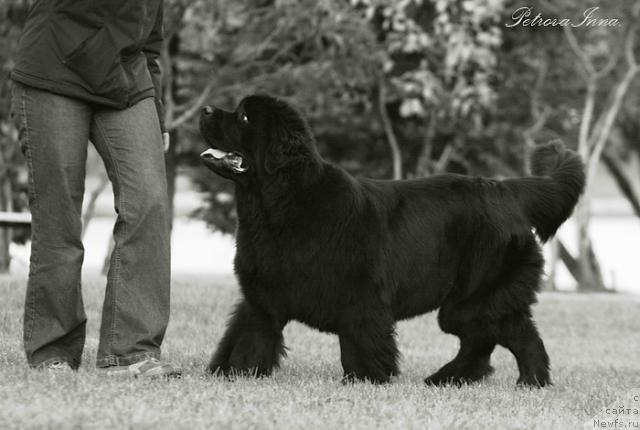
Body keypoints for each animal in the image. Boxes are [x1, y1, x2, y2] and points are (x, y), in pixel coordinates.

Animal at [200, 95, 584, 388]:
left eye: (243, 116)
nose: (204, 109)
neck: (279, 204)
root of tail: (506, 189)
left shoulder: (362, 300)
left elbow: (360, 344)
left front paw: (365, 380)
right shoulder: (261, 297)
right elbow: (247, 338)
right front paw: (233, 373)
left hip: (474, 298)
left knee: (511, 334)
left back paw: (529, 381)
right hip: (471, 303)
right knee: (488, 340)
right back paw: (450, 379)